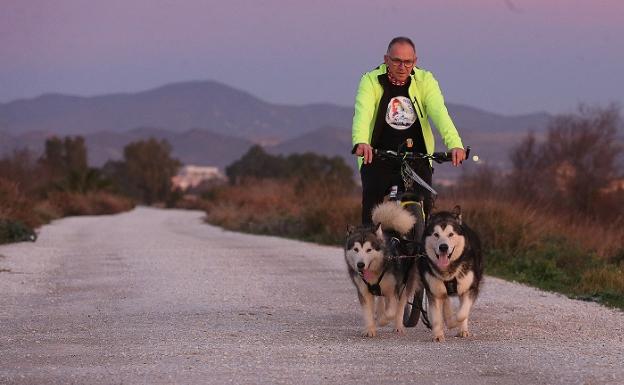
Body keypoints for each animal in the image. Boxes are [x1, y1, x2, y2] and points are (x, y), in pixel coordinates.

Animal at [344, 201, 422, 336]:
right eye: (356, 249)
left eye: (369, 250)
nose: (360, 265)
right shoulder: (364, 291)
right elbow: (368, 312)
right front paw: (370, 329)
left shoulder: (394, 291)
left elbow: (391, 311)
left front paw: (382, 321)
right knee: (381, 300)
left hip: (406, 283)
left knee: (400, 306)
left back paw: (398, 326)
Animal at [420, 206, 482, 340]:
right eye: (436, 234)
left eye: (451, 234)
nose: (443, 247)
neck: (448, 271)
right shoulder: (433, 291)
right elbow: (436, 315)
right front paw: (438, 335)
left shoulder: (470, 288)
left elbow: (462, 313)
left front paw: (454, 322)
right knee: (445, 299)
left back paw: (462, 330)